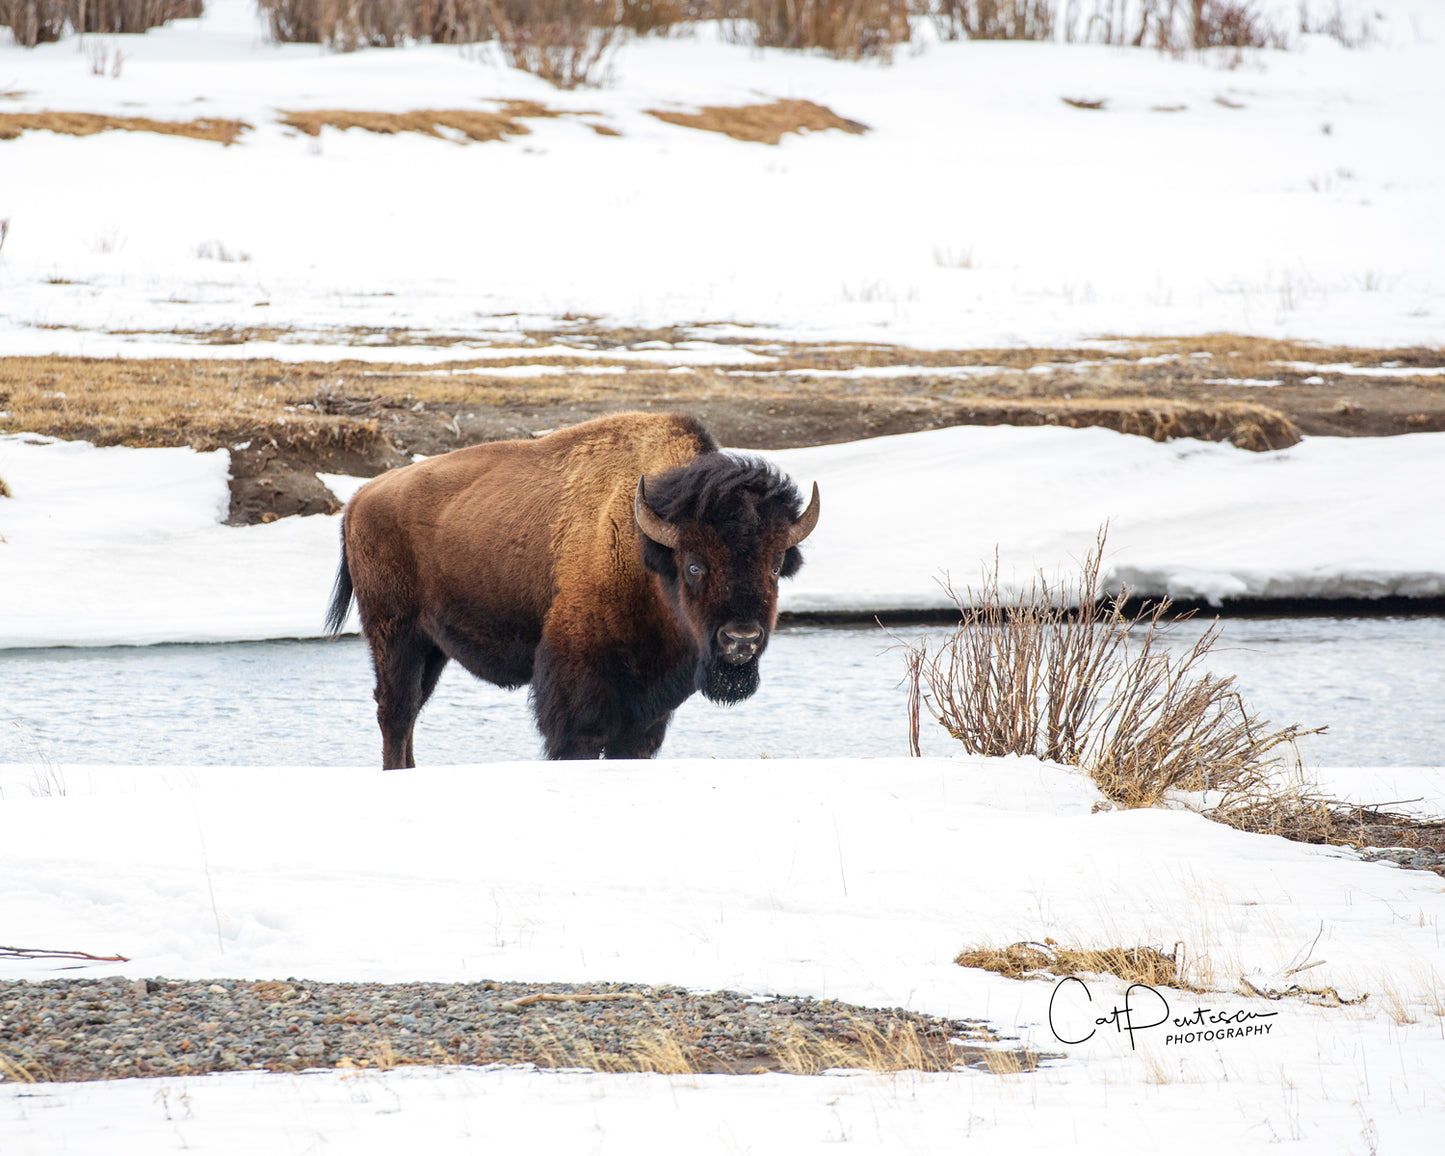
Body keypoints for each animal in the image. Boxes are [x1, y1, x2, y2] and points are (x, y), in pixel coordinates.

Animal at [330, 416, 826, 768]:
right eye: (694, 565)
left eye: (776, 564)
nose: (741, 639)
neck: (642, 548)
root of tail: (359, 500)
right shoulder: (578, 690)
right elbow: (577, 741)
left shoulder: (647, 711)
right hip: (394, 634)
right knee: (396, 712)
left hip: (431, 647)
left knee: (410, 712)